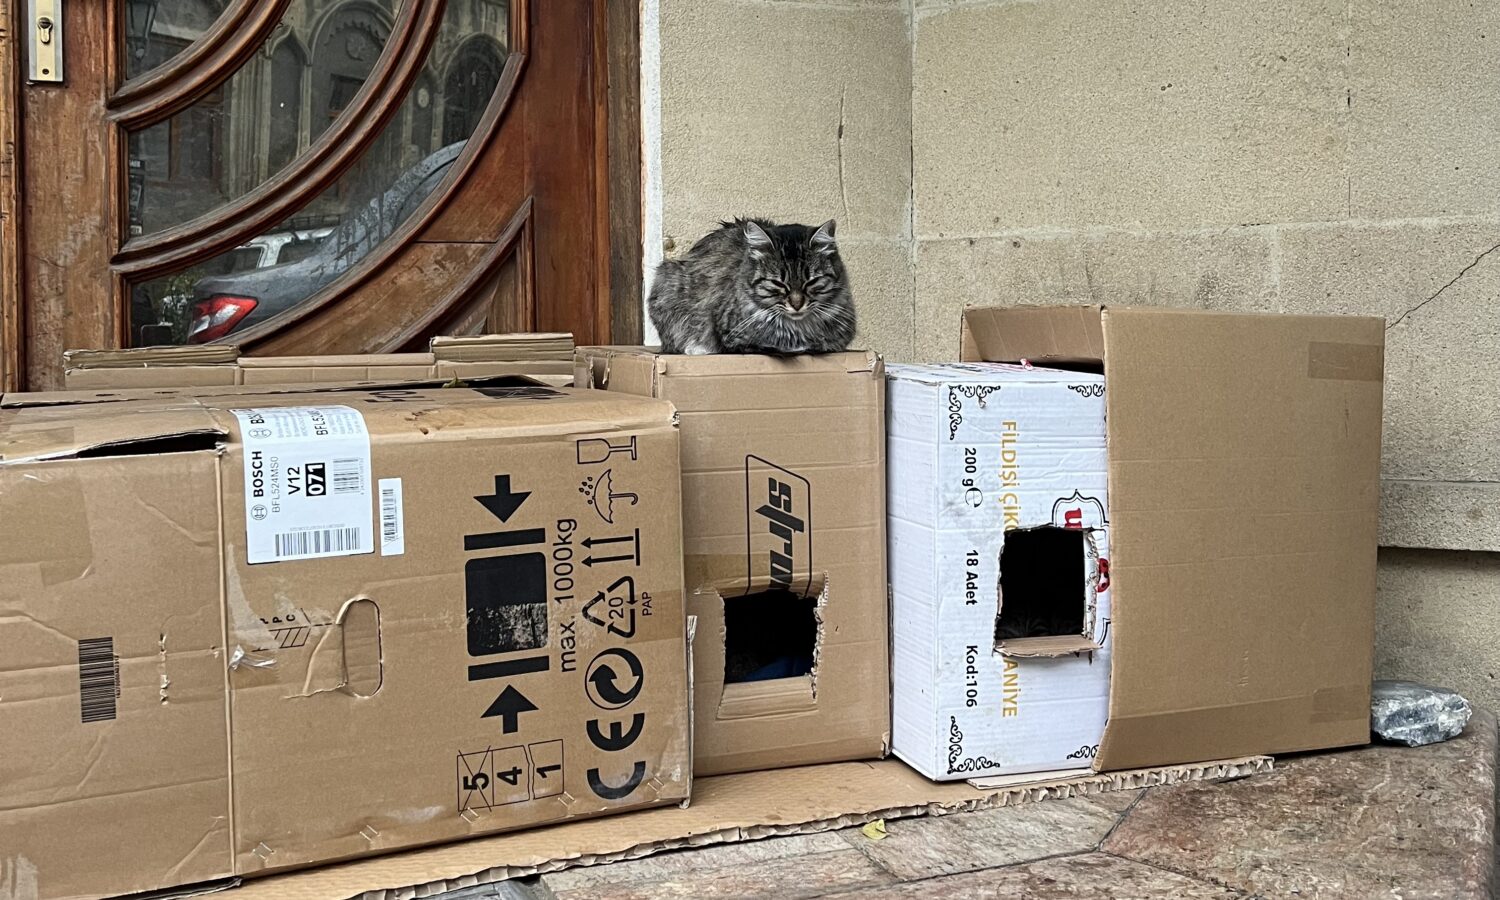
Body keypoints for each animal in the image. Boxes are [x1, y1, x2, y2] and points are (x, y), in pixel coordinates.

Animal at [645, 217, 858, 355]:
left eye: (811, 282)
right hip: (667, 281)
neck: (797, 330)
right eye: (777, 283)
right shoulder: (732, 339)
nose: (797, 304)